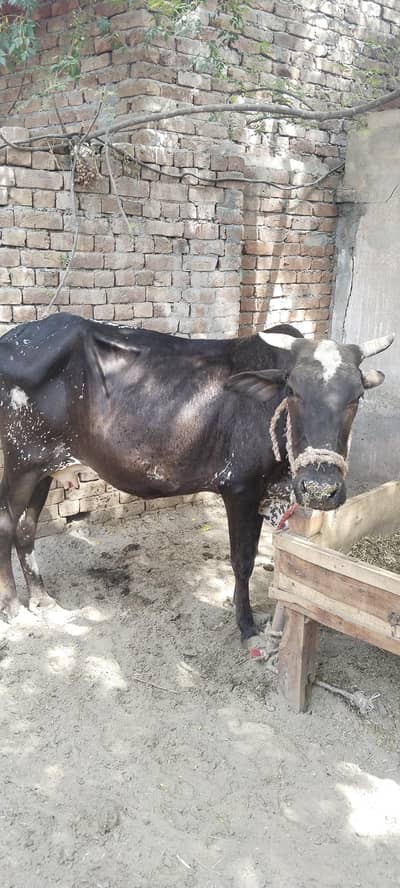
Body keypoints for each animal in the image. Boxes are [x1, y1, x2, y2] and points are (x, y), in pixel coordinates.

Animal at [0, 312, 394, 641]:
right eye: (293, 390)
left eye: (356, 396)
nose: (319, 489)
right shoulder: (240, 487)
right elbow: (242, 561)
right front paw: (246, 625)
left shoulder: (265, 492)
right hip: (19, 462)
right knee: (7, 525)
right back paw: (14, 607)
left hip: (42, 469)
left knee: (27, 528)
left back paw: (42, 599)